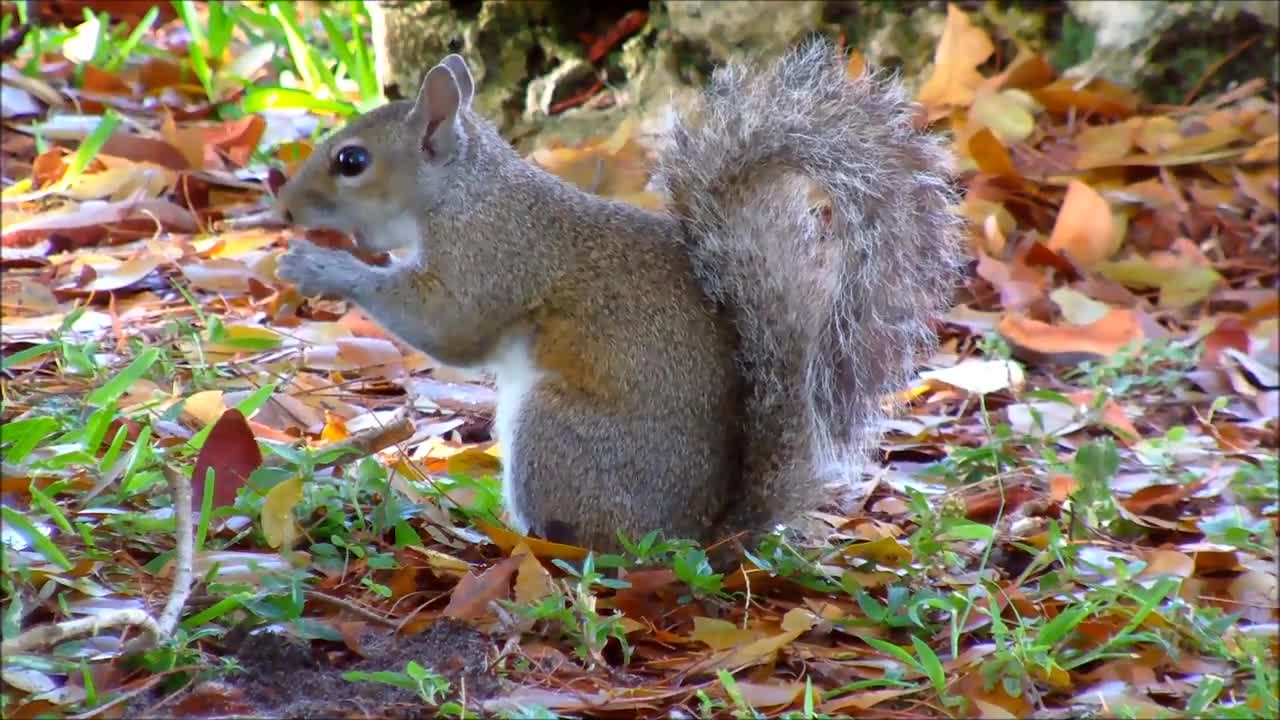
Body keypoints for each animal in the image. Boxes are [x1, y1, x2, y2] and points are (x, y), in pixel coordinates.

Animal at [275, 39, 962, 556]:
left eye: (351, 161)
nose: (283, 206)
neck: (463, 193)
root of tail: (698, 539)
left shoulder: (493, 257)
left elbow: (449, 328)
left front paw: (322, 266)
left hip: (555, 432)